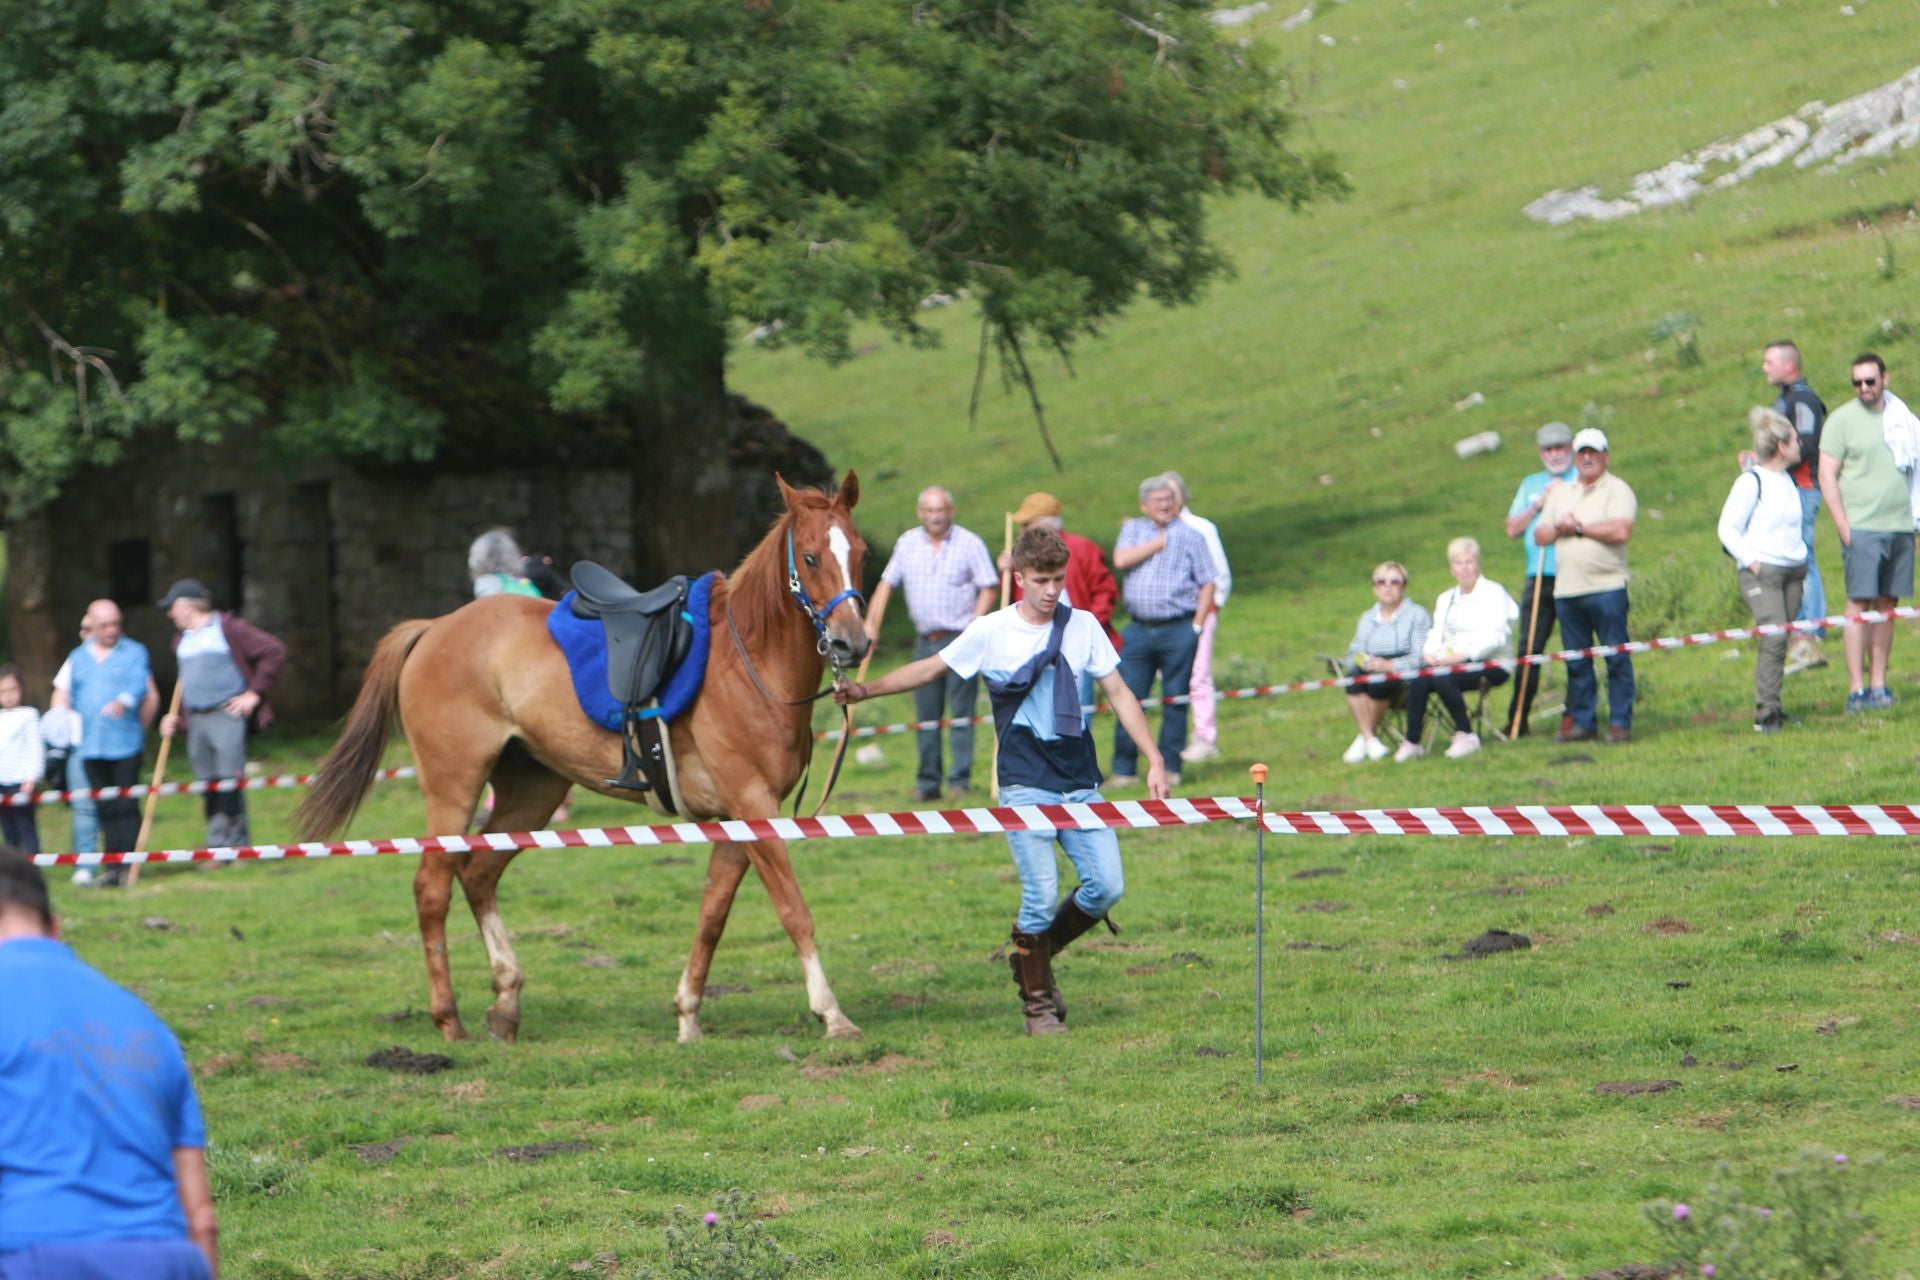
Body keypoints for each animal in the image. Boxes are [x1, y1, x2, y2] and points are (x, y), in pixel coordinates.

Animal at [297, 475, 871, 1043]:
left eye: (861, 552)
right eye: (812, 558)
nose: (853, 642)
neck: (746, 660)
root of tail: (434, 628)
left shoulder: (737, 819)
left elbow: (712, 916)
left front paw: (687, 1015)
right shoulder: (753, 806)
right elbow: (794, 911)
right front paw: (832, 1013)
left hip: (534, 793)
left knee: (478, 874)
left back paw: (506, 1002)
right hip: (453, 788)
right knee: (432, 888)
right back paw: (448, 1019)